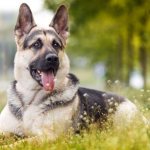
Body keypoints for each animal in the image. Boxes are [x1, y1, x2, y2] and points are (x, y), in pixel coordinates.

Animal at [0, 3, 146, 139]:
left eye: (56, 45)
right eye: (36, 44)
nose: (53, 58)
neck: (30, 101)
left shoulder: (47, 137)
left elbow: (20, 141)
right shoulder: (5, 131)